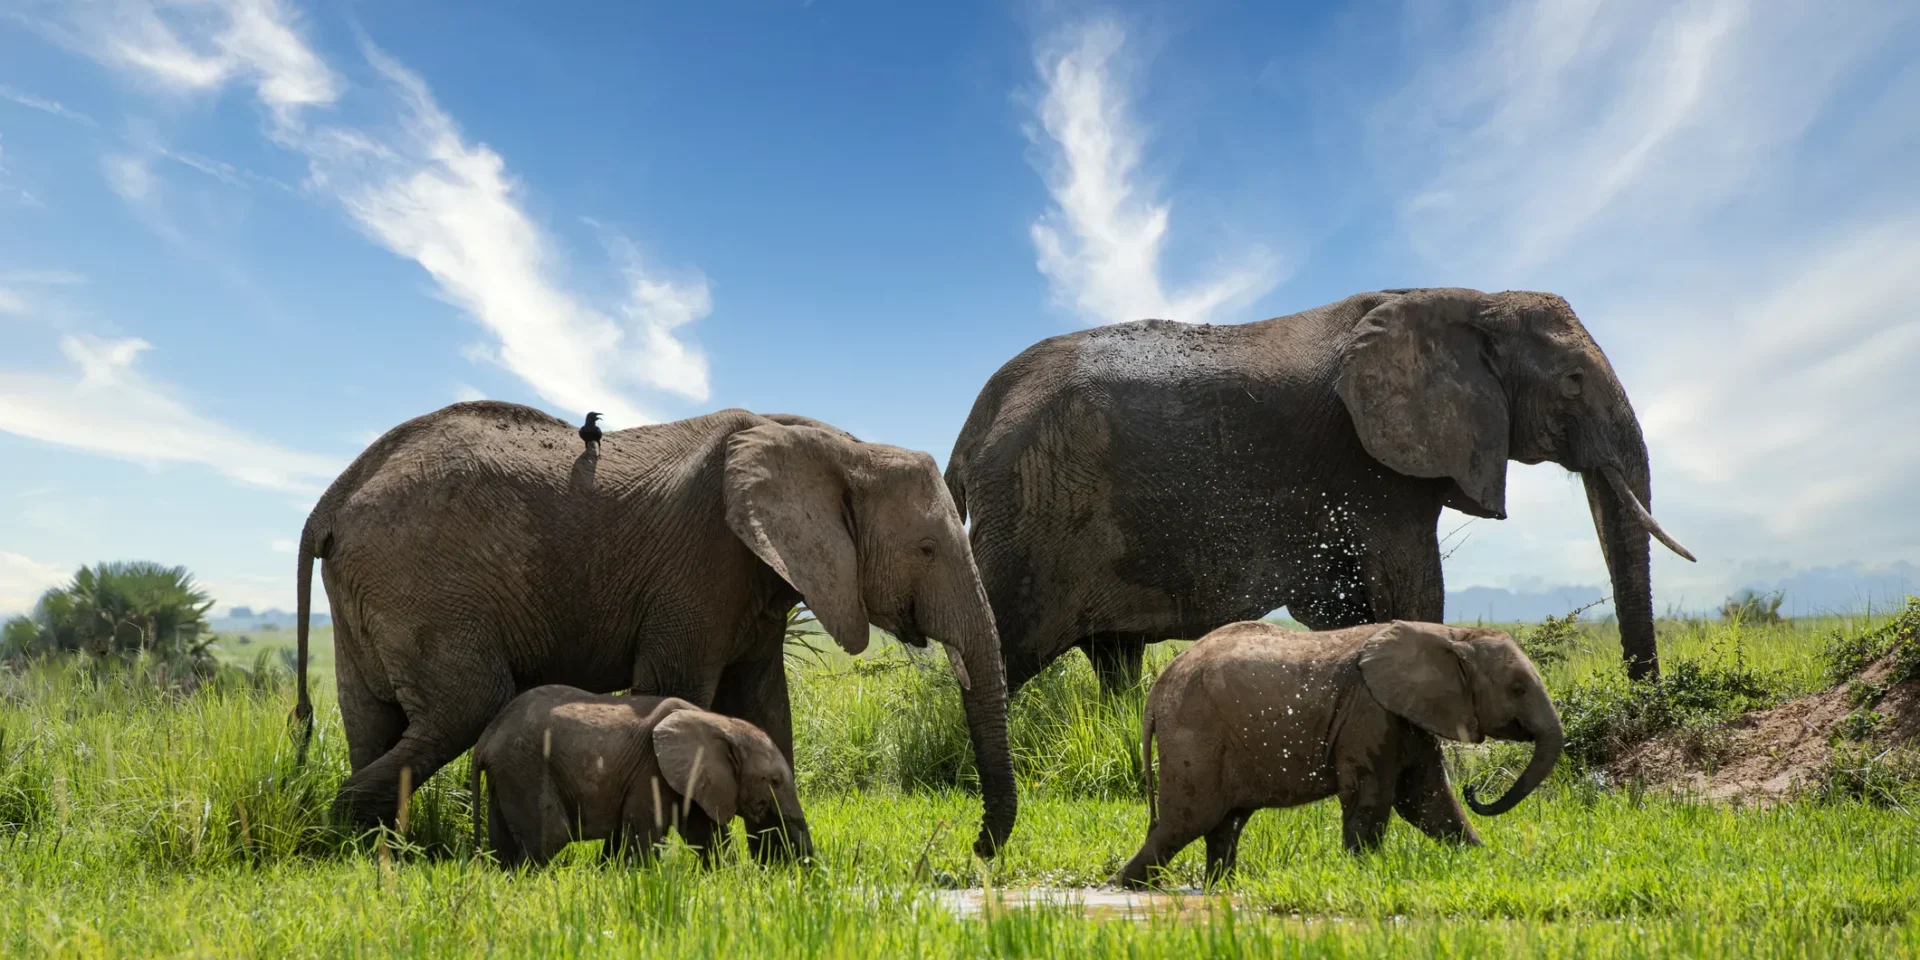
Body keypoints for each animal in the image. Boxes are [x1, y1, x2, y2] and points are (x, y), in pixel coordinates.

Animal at [469, 687, 807, 868]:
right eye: (775, 781)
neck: (719, 723)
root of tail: (485, 738)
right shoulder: (652, 771)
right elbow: (645, 834)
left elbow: (705, 835)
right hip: (525, 765)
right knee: (550, 836)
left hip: (507, 773)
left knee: (503, 843)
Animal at [945, 287, 1694, 695]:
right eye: (1572, 381)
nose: (1643, 701)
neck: (1472, 300)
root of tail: (972, 424)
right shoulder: (1373, 468)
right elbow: (1411, 588)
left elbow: (1346, 607)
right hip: (1033, 513)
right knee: (1005, 650)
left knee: (1113, 656)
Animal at [1110, 619, 1562, 889]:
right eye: (1518, 689)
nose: (1475, 791)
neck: (1451, 634)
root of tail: (1157, 692)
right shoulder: (1369, 712)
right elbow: (1374, 798)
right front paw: (1364, 875)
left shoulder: (1404, 713)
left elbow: (1427, 800)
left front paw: (1488, 862)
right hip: (1195, 731)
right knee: (1186, 821)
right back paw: (1122, 887)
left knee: (1225, 823)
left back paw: (1218, 888)